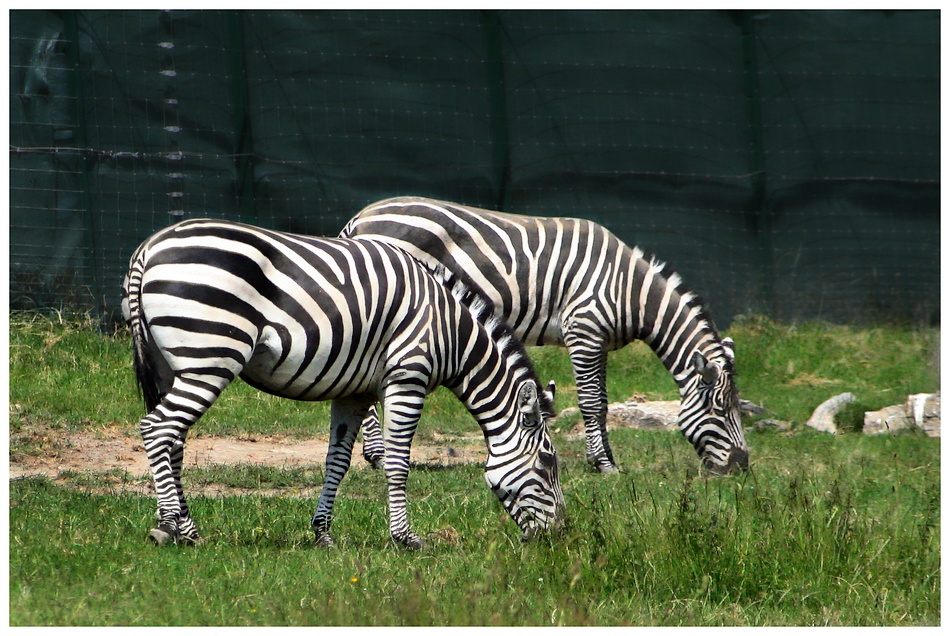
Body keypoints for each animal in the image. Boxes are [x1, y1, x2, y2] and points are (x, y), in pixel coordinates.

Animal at [119, 217, 564, 548]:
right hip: (212, 356)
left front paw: (323, 535)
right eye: (548, 463)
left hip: (173, 364)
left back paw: (183, 529)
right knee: (158, 428)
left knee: (174, 438)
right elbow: (399, 462)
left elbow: (337, 461)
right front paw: (406, 538)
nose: (560, 535)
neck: (451, 332)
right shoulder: (408, 376)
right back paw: (172, 527)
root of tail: (148, 248)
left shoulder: (355, 392)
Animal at [342, 196, 752, 474]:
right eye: (722, 408)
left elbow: (602, 401)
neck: (629, 290)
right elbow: (591, 402)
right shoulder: (584, 329)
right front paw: (603, 464)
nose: (742, 467)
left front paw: (602, 458)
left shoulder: (599, 341)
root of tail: (360, 217)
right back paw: (378, 454)